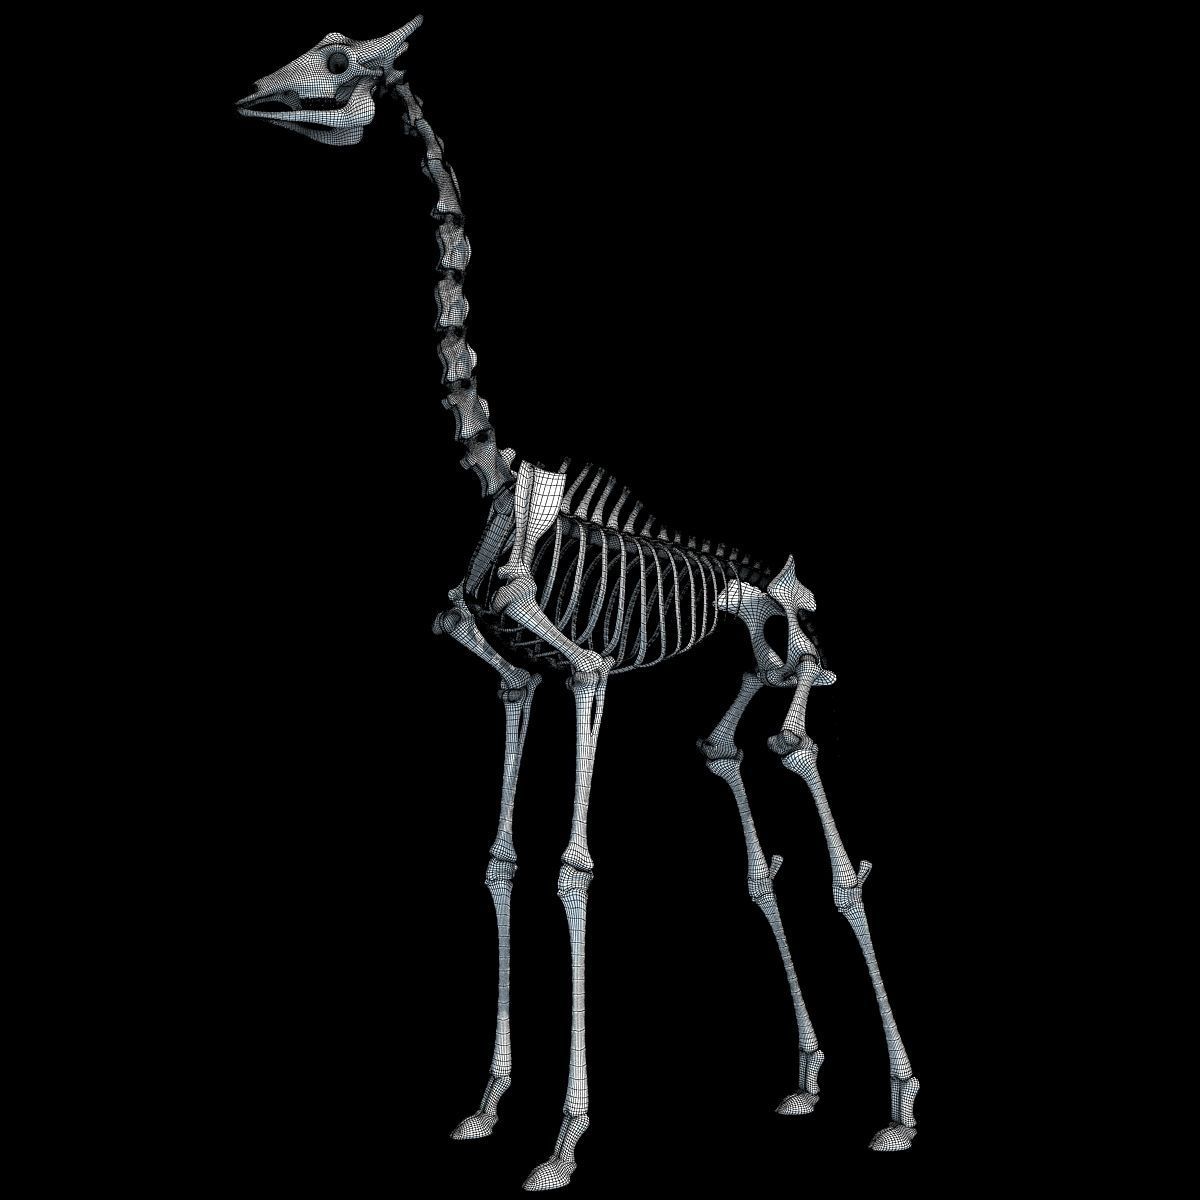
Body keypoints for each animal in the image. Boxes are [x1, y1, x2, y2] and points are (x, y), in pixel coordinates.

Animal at [237, 15, 921, 1188]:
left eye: (338, 61)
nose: (257, 96)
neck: (491, 481)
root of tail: (772, 573)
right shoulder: (515, 675)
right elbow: (504, 858)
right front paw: (488, 1103)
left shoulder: (589, 671)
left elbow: (571, 867)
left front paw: (561, 1138)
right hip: (741, 667)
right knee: (737, 772)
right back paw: (806, 1079)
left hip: (793, 653)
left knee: (811, 775)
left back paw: (900, 1107)